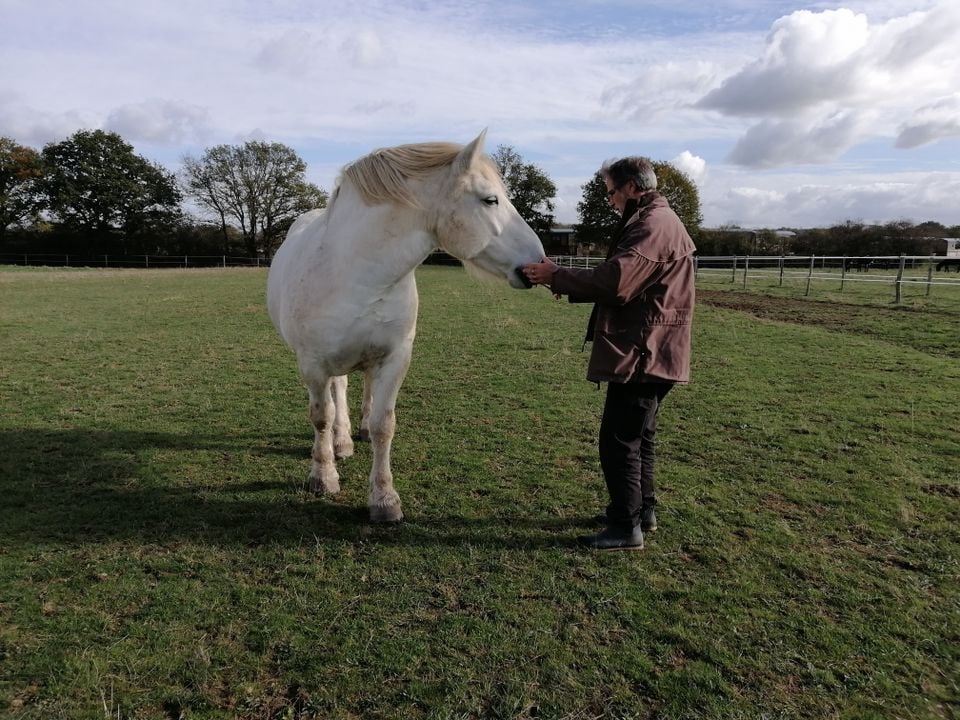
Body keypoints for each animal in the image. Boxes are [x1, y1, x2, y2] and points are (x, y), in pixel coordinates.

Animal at [266, 131, 545, 522]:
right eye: (490, 199)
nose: (537, 262)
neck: (355, 271)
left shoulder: (395, 357)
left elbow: (384, 425)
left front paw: (384, 500)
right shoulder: (313, 364)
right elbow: (321, 417)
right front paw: (322, 476)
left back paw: (355, 434)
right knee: (338, 394)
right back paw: (341, 441)